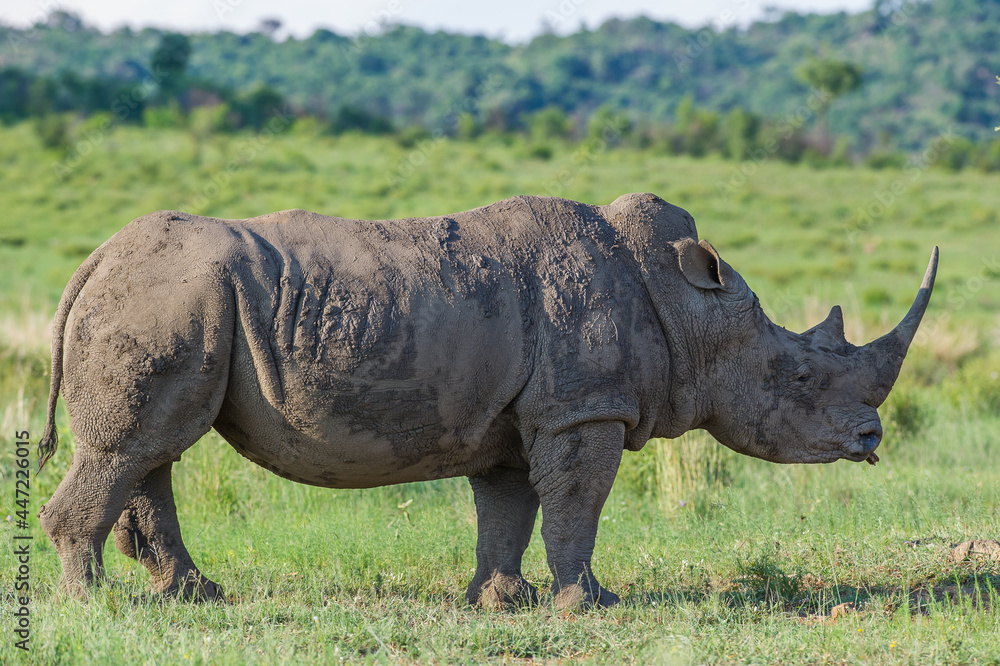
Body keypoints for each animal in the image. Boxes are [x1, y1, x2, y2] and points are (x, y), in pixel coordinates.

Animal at [37, 193, 937, 609]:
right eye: (798, 379)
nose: (870, 438)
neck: (688, 308)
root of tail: (93, 260)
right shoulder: (585, 408)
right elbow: (577, 504)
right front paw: (590, 604)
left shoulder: (520, 418)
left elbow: (509, 508)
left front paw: (502, 601)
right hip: (166, 298)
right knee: (134, 447)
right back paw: (95, 603)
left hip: (176, 300)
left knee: (153, 448)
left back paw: (192, 595)